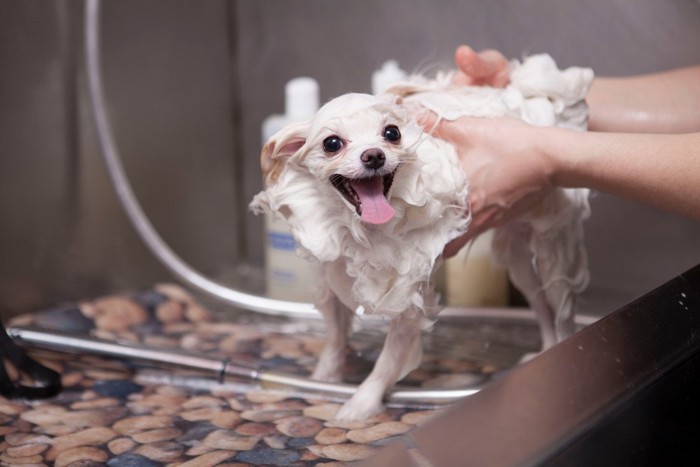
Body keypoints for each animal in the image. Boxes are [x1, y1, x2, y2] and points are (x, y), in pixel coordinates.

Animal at [250, 54, 592, 420]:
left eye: (392, 133)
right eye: (332, 143)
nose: (374, 155)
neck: (360, 231)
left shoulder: (408, 299)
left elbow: (387, 362)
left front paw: (360, 405)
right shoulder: (330, 278)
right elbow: (335, 339)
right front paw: (322, 379)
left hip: (552, 250)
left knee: (561, 312)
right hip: (519, 264)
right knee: (542, 309)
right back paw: (545, 350)